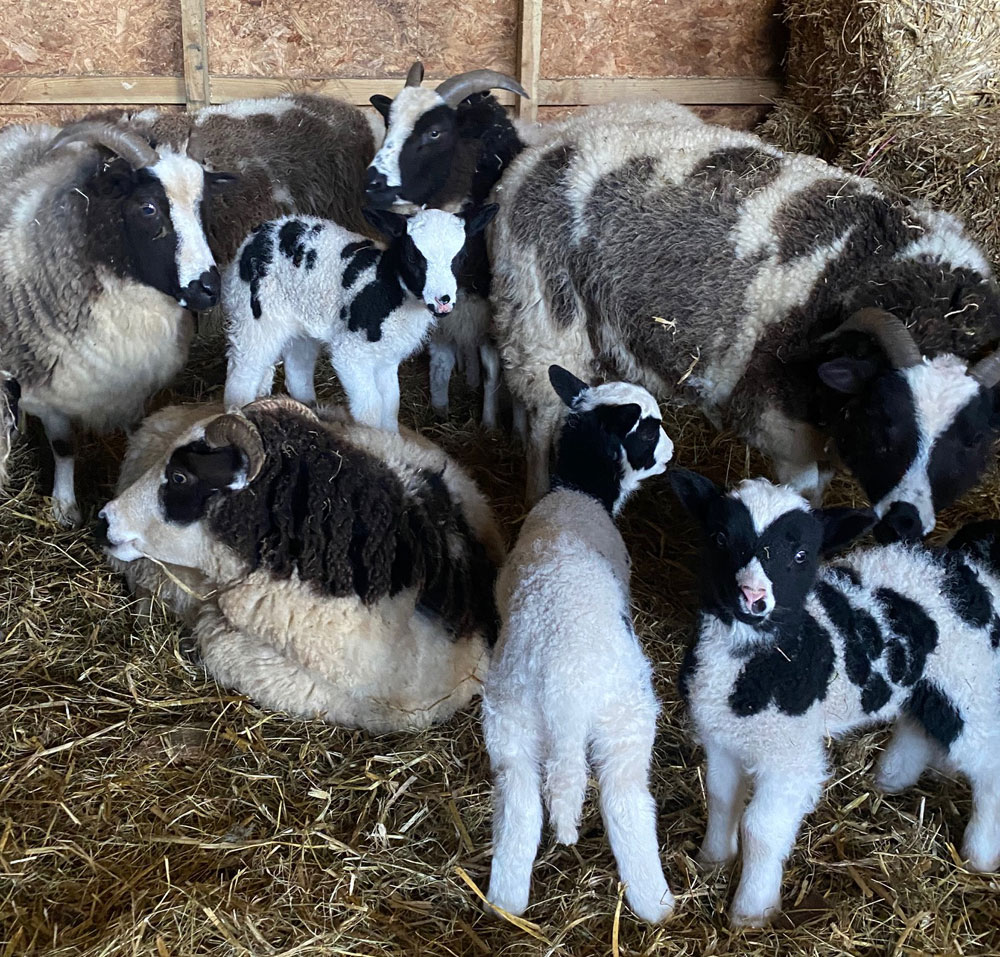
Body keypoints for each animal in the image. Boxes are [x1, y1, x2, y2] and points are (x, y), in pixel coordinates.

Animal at [0, 120, 235, 528]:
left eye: (201, 208)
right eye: (148, 208)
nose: (209, 289)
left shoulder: (133, 384)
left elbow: (137, 434)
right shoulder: (51, 390)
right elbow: (64, 446)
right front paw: (65, 507)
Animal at [222, 204, 496, 430]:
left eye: (460, 258)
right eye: (412, 257)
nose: (443, 301)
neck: (387, 289)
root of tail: (261, 232)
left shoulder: (387, 358)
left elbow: (391, 405)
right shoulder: (351, 355)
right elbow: (370, 409)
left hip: (302, 321)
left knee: (296, 370)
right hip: (255, 315)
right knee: (243, 372)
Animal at [482, 364, 676, 920]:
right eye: (649, 430)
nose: (673, 451)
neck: (578, 493)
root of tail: (563, 696)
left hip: (508, 721)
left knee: (520, 805)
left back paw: (506, 904)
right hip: (626, 716)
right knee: (625, 800)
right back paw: (657, 904)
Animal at [664, 468, 1000, 928]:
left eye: (801, 554)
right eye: (719, 538)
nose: (752, 597)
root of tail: (969, 572)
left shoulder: (790, 756)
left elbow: (760, 827)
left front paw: (752, 911)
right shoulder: (722, 737)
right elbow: (719, 797)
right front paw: (712, 860)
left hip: (969, 684)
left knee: (988, 765)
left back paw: (980, 855)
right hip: (931, 683)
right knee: (919, 720)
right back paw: (891, 778)